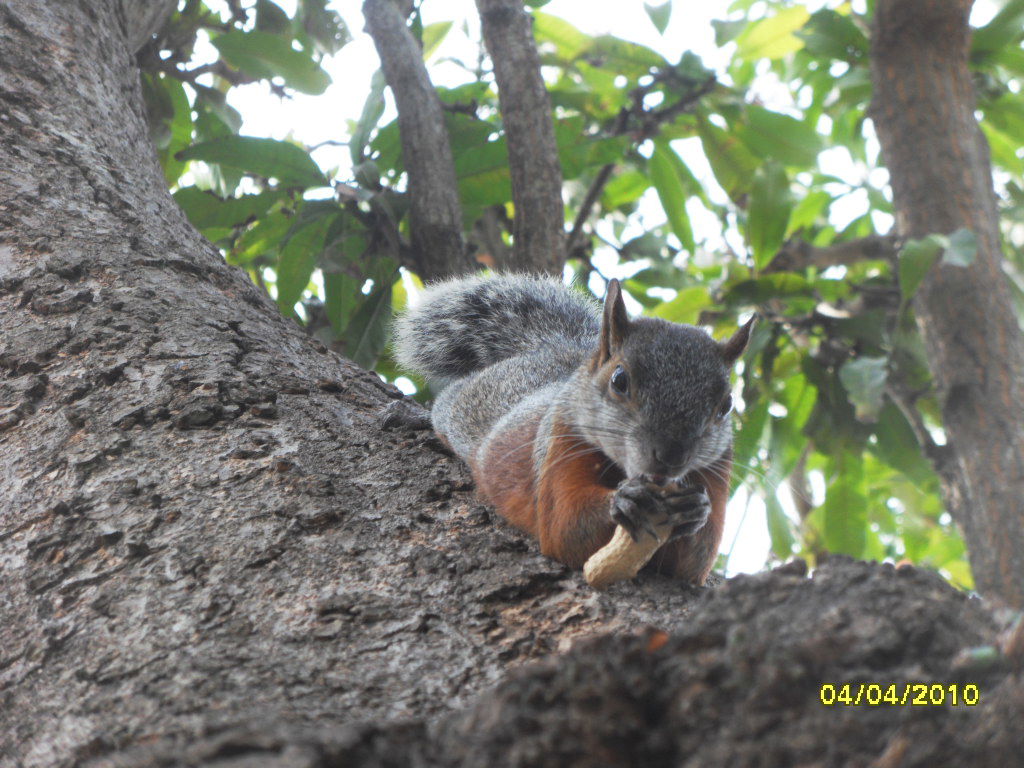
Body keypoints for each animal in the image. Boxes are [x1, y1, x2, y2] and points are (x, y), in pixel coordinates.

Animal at [393, 276, 753, 581]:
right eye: (619, 380)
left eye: (727, 405)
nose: (670, 456)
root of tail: (556, 350)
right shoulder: (560, 441)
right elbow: (565, 529)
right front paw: (625, 501)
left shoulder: (717, 472)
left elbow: (690, 566)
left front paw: (696, 510)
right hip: (467, 403)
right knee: (447, 403)